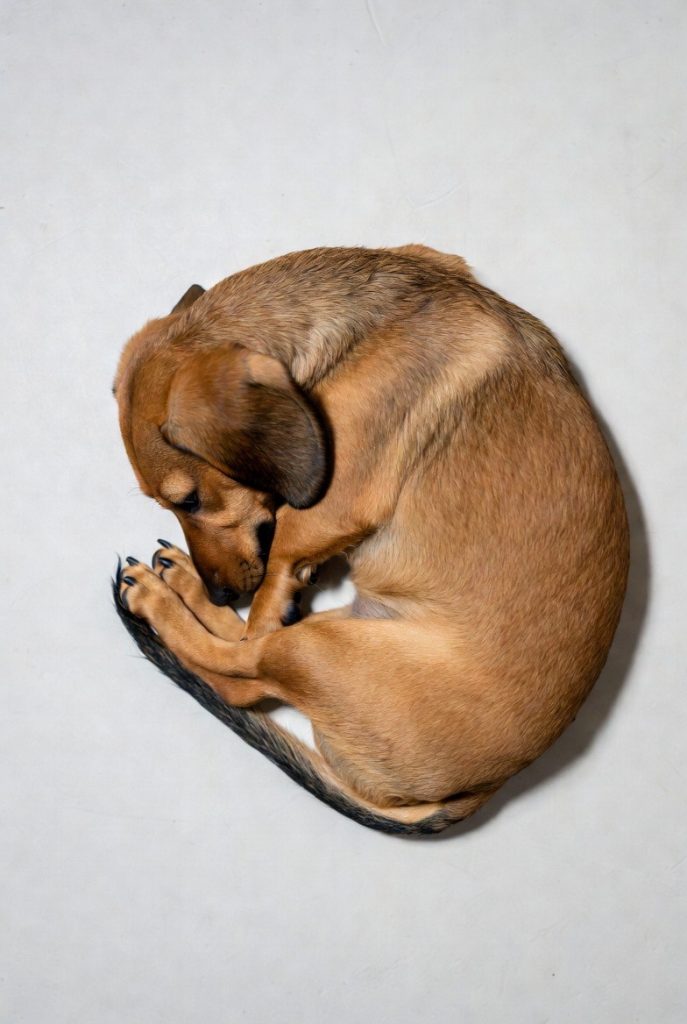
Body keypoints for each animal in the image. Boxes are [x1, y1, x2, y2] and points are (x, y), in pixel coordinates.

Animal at [113, 245, 629, 834]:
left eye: (190, 500)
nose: (222, 591)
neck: (368, 327)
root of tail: (480, 789)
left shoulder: (320, 515)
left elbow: (268, 589)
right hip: (344, 628)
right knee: (250, 656)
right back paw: (182, 585)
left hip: (319, 650)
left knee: (245, 673)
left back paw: (161, 602)